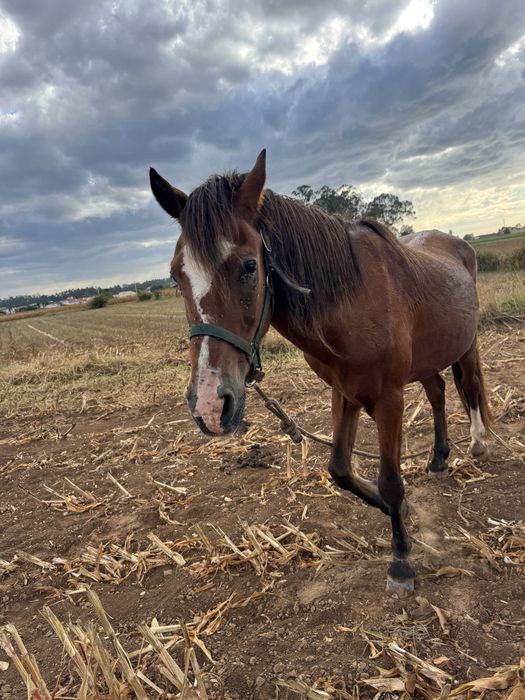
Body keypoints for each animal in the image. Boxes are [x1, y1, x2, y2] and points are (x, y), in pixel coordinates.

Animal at [149, 150, 491, 596]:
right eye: (177, 276)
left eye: (249, 267)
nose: (209, 405)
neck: (356, 299)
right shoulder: (344, 392)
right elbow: (341, 471)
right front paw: (398, 510)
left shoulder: (389, 398)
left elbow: (390, 479)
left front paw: (401, 559)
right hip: (427, 360)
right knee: (436, 393)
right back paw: (437, 458)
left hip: (465, 346)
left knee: (470, 387)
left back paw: (478, 444)